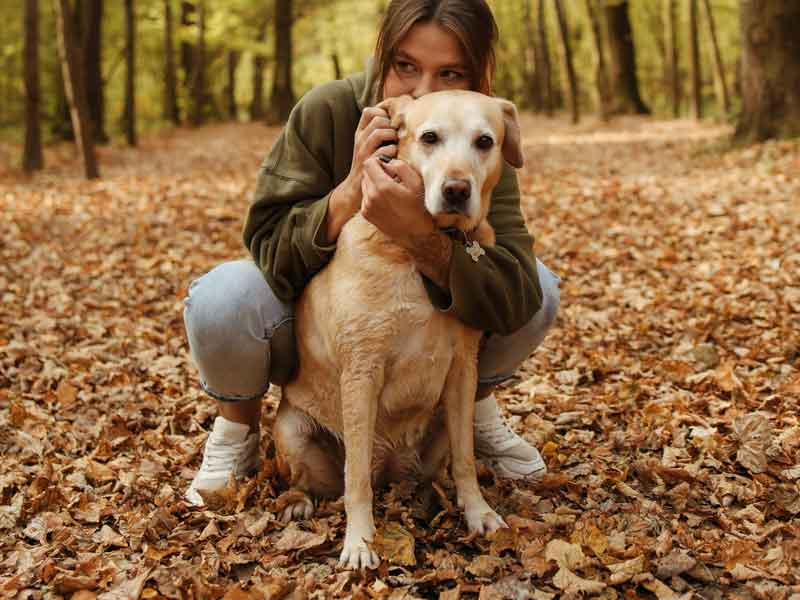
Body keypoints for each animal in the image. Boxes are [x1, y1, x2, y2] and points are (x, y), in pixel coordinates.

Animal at [274, 91, 524, 568]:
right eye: (430, 137)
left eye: (485, 141)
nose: (457, 189)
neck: (411, 251)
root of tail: (391, 470)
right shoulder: (361, 371)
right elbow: (355, 478)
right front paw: (359, 541)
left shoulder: (462, 369)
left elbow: (466, 459)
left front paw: (477, 511)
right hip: (292, 430)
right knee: (320, 480)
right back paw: (297, 502)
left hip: (442, 422)